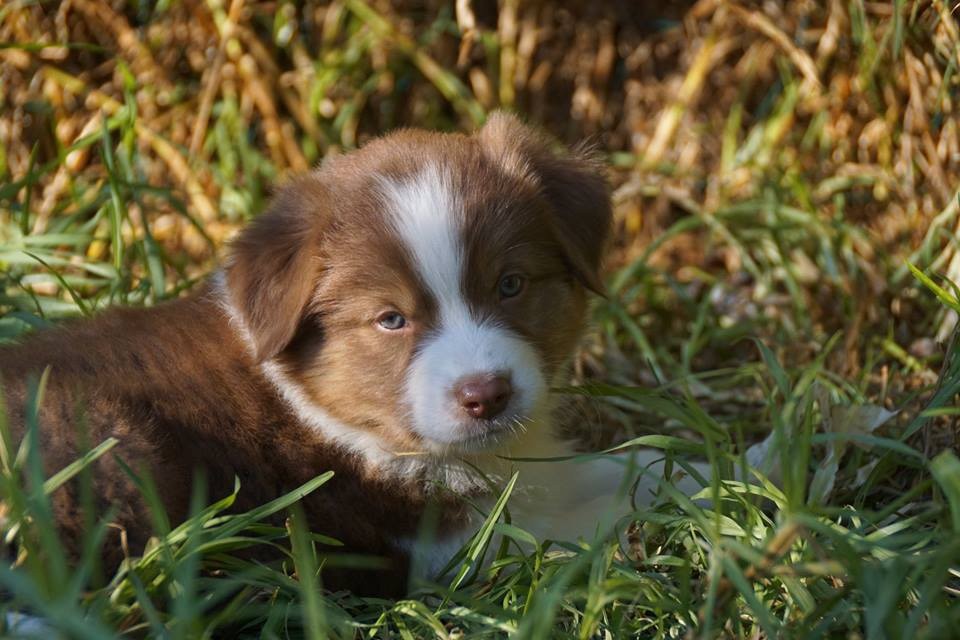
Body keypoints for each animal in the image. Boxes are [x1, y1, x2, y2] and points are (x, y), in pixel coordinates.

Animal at [0, 112, 676, 592]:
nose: (486, 395)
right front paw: (660, 518)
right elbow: (572, 532)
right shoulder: (441, 548)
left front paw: (692, 467)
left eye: (511, 285)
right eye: (391, 319)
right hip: (102, 444)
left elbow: (620, 464)